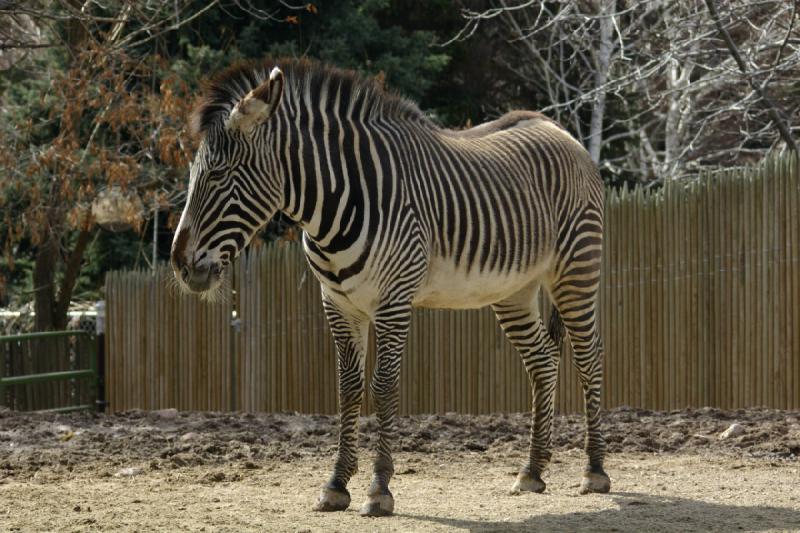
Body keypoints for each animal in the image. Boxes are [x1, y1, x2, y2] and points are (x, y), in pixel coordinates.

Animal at [172, 58, 612, 516]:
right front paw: (336, 485)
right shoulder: (337, 303)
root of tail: (556, 127)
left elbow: (383, 386)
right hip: (515, 291)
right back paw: (532, 471)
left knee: (589, 356)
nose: (181, 265)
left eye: (219, 175)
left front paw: (379, 489)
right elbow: (348, 389)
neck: (333, 205)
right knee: (543, 360)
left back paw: (594, 471)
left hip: (577, 268)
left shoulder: (393, 301)